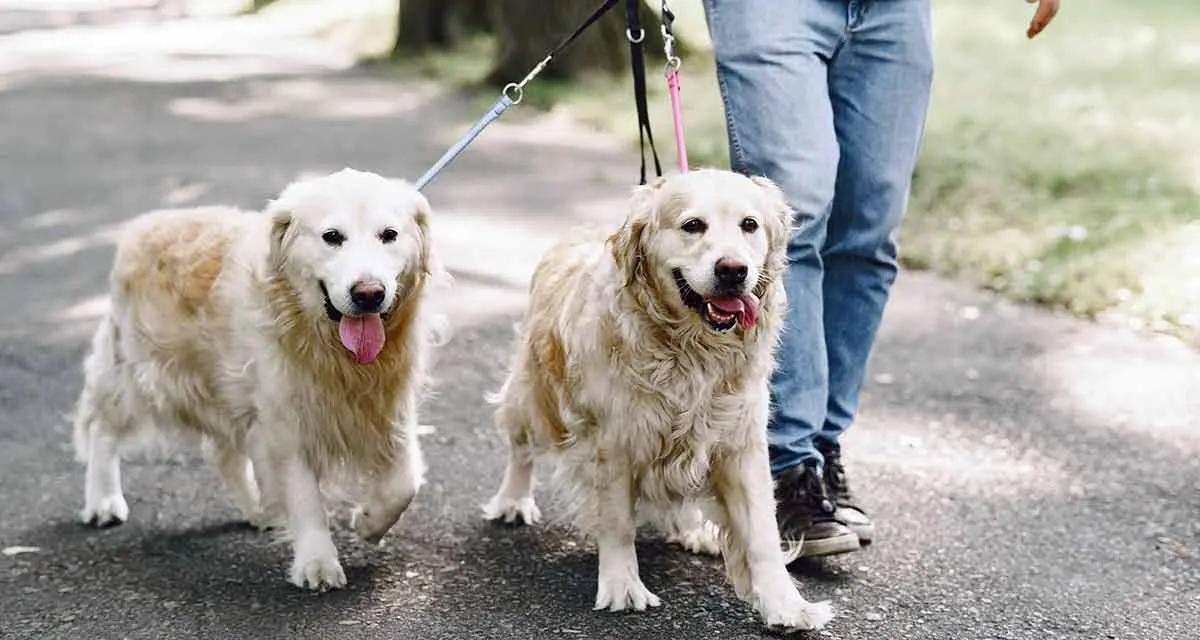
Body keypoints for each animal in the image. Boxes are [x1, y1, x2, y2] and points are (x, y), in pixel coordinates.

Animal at [71, 168, 446, 588]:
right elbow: (304, 496)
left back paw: (258, 507)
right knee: (102, 428)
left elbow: (404, 483)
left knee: (223, 453)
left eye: (390, 234)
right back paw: (103, 500)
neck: (332, 352)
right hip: (140, 374)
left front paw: (369, 522)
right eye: (332, 236)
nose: (369, 294)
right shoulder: (286, 422)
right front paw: (317, 561)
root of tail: (145, 224)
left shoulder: (391, 407)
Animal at [477, 166, 835, 629]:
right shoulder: (613, 442)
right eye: (693, 225)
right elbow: (618, 522)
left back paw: (692, 529)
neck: (692, 350)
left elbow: (762, 534)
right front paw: (622, 586)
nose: (733, 270)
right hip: (533, 394)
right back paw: (513, 501)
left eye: (749, 225)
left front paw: (787, 604)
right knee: (520, 446)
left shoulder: (740, 444)